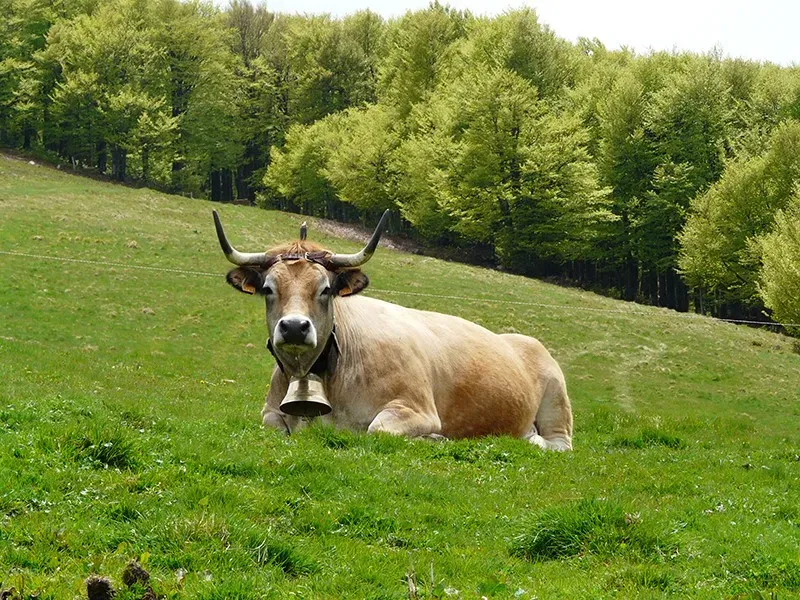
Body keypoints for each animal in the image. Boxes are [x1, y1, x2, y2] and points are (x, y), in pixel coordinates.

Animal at [213, 210, 573, 451]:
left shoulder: (416, 408)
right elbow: (272, 425)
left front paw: (435, 438)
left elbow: (378, 431)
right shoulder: (270, 412)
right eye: (268, 289)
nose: (294, 327)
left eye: (325, 289)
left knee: (558, 443)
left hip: (557, 402)